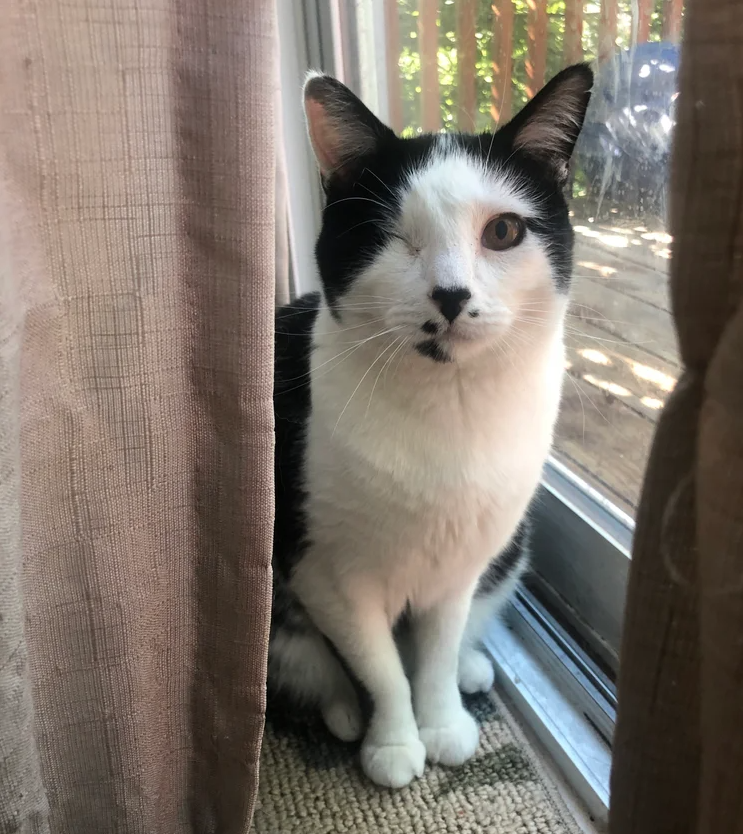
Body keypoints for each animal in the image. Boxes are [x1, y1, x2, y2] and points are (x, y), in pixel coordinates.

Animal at [272, 65, 592, 788]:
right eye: (395, 237)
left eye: (502, 232)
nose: (450, 295)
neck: (452, 405)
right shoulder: (325, 573)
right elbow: (379, 667)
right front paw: (394, 742)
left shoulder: (462, 562)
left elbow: (436, 654)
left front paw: (442, 721)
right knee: (313, 660)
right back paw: (341, 711)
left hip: (510, 546)